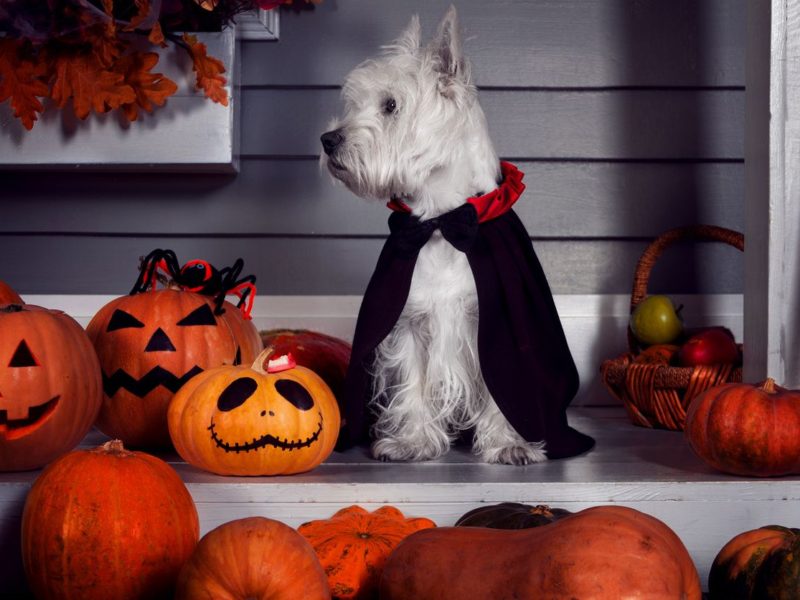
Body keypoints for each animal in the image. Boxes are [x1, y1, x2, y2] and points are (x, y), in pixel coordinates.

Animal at [322, 5, 592, 464]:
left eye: (391, 105)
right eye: (355, 103)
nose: (327, 140)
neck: (441, 222)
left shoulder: (496, 324)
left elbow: (504, 389)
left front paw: (508, 444)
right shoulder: (410, 323)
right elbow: (412, 384)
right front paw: (411, 441)